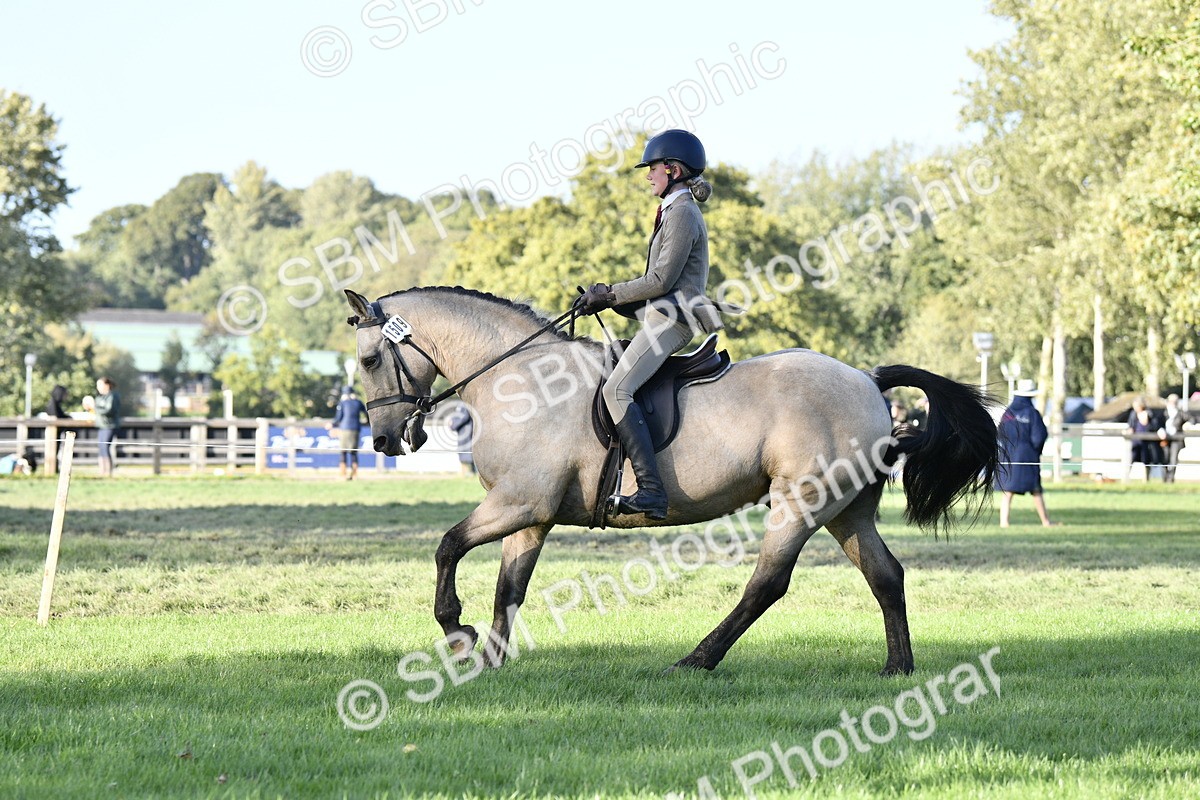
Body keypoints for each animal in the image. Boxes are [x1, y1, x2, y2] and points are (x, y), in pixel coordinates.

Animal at [344, 286, 997, 675]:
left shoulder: (518, 503)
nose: (384, 440)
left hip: (800, 503)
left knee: (767, 583)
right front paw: (492, 661)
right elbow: (510, 586)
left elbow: (448, 546)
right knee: (885, 575)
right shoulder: (530, 515)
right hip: (845, 509)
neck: (521, 380)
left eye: (370, 360)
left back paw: (698, 659)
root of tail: (867, 379)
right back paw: (898, 667)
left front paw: (458, 633)